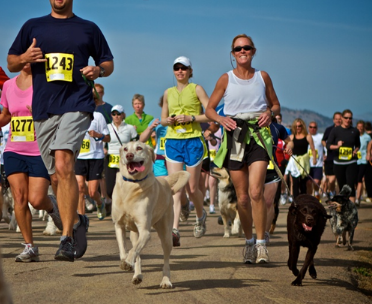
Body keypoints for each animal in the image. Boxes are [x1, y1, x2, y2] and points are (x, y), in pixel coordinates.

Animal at [112, 141, 189, 288]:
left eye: (139, 148)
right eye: (125, 149)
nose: (129, 156)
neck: (132, 185)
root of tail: (165, 181)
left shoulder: (145, 231)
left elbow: (133, 250)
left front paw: (127, 262)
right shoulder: (119, 225)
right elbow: (123, 247)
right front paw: (125, 260)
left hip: (166, 235)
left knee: (165, 260)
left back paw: (166, 280)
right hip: (135, 235)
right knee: (138, 253)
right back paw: (137, 275)